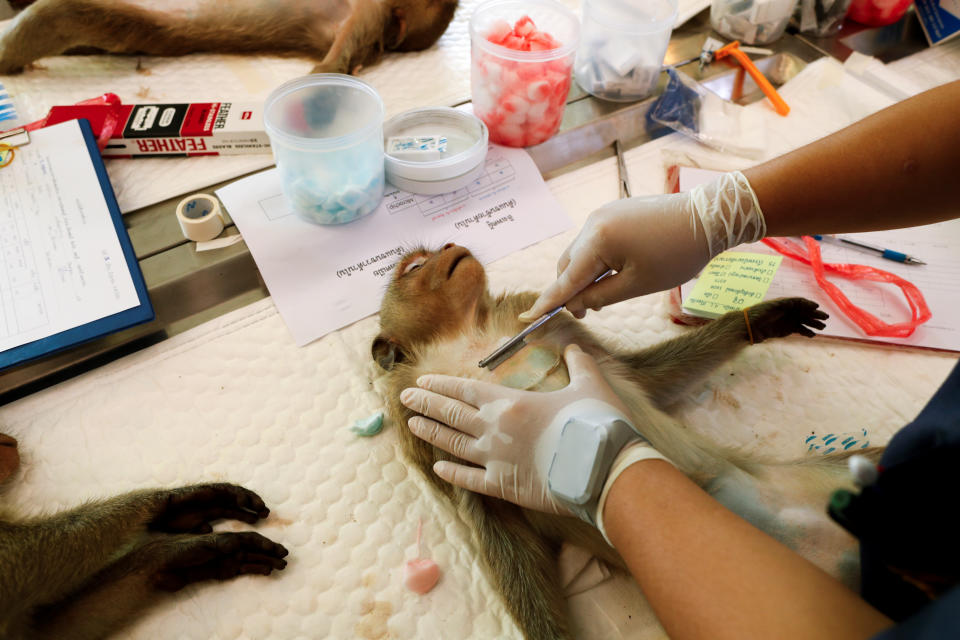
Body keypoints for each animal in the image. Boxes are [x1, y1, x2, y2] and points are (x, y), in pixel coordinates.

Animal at [372, 244, 880, 640]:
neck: (469, 336)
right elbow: (490, 512)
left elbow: (643, 380)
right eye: (416, 266)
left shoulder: (542, 319)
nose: (451, 246)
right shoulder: (416, 414)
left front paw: (757, 319)